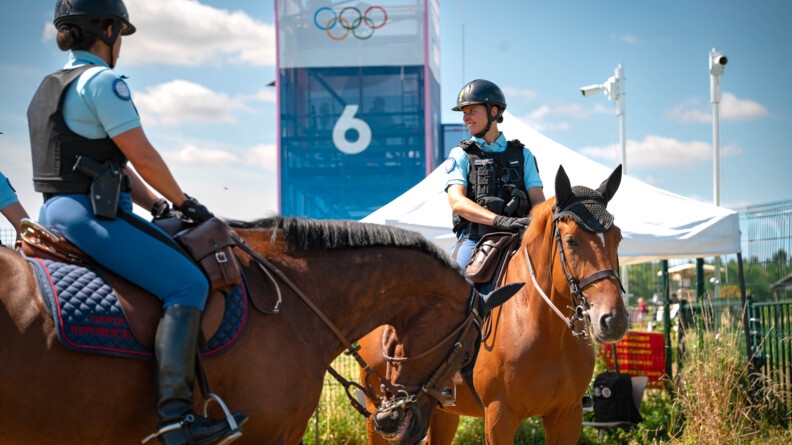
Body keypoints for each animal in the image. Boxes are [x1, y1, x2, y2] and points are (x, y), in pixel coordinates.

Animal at [362, 165, 628, 442]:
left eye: (617, 238)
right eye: (570, 240)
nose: (613, 320)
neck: (548, 330)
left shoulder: (567, 416)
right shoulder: (500, 416)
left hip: (439, 412)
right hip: (380, 412)